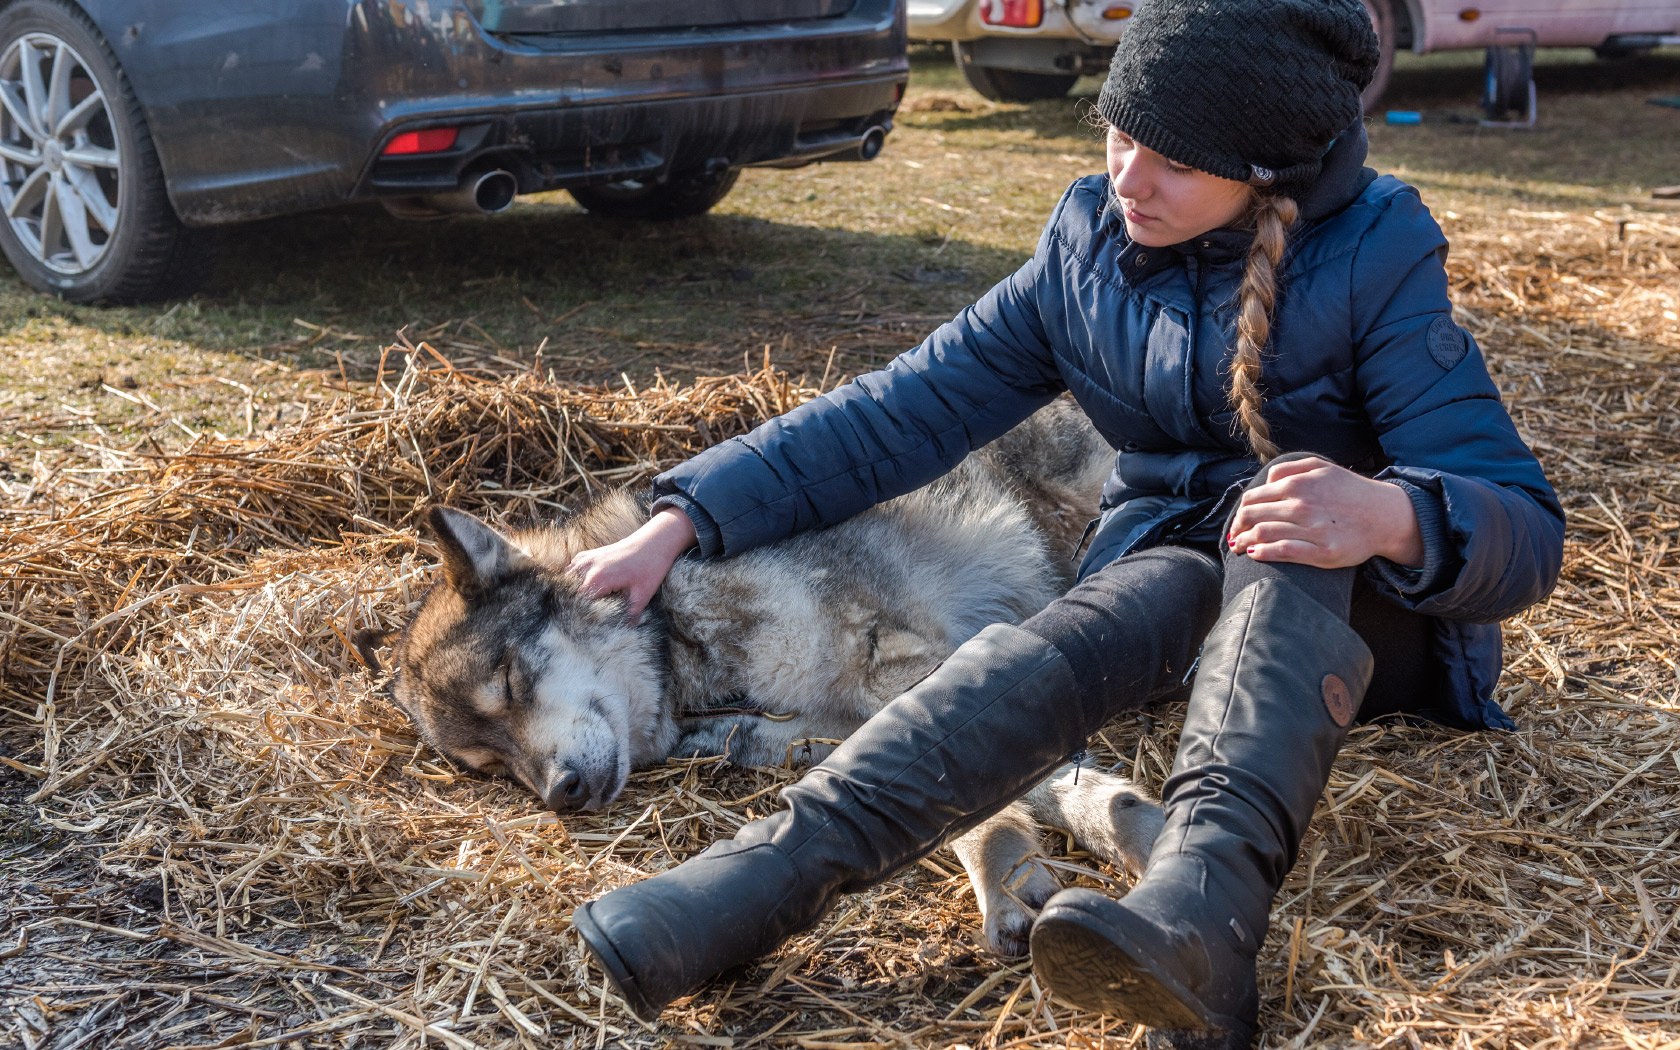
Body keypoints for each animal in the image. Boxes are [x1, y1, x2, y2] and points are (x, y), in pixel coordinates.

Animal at [374, 397, 1165, 954]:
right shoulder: (838, 723)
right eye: (489, 766)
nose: (560, 794)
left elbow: (999, 790)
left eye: (509, 681)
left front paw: (1051, 857)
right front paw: (1092, 831)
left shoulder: (905, 666)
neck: (680, 629)